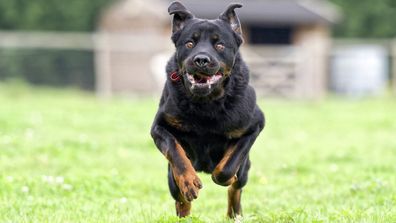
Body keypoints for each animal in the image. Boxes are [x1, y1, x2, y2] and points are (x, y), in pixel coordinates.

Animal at [150, 0, 264, 219]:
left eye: (219, 45)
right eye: (189, 44)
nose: (201, 59)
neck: (206, 102)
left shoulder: (254, 126)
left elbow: (227, 168)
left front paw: (225, 177)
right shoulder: (159, 127)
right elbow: (175, 152)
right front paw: (188, 182)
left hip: (245, 169)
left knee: (236, 188)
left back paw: (233, 214)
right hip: (169, 176)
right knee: (178, 193)